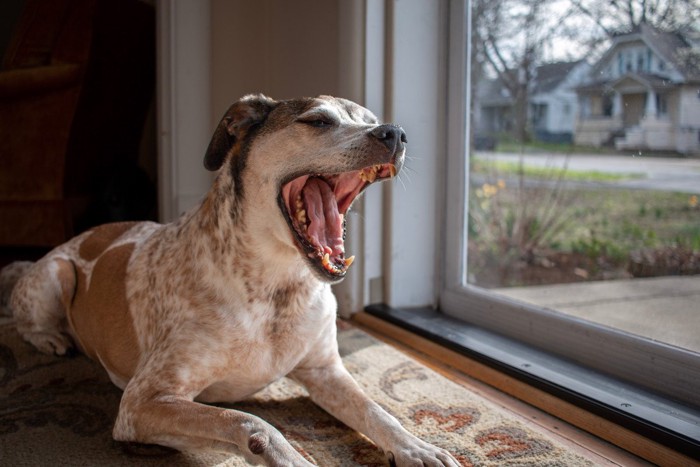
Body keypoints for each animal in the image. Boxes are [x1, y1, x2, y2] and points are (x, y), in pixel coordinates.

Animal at [1, 96, 460, 467]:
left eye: (372, 119)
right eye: (318, 121)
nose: (395, 133)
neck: (277, 289)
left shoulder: (326, 370)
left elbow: (378, 411)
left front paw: (418, 448)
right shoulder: (142, 401)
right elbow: (251, 422)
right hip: (55, 275)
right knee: (27, 317)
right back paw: (52, 338)